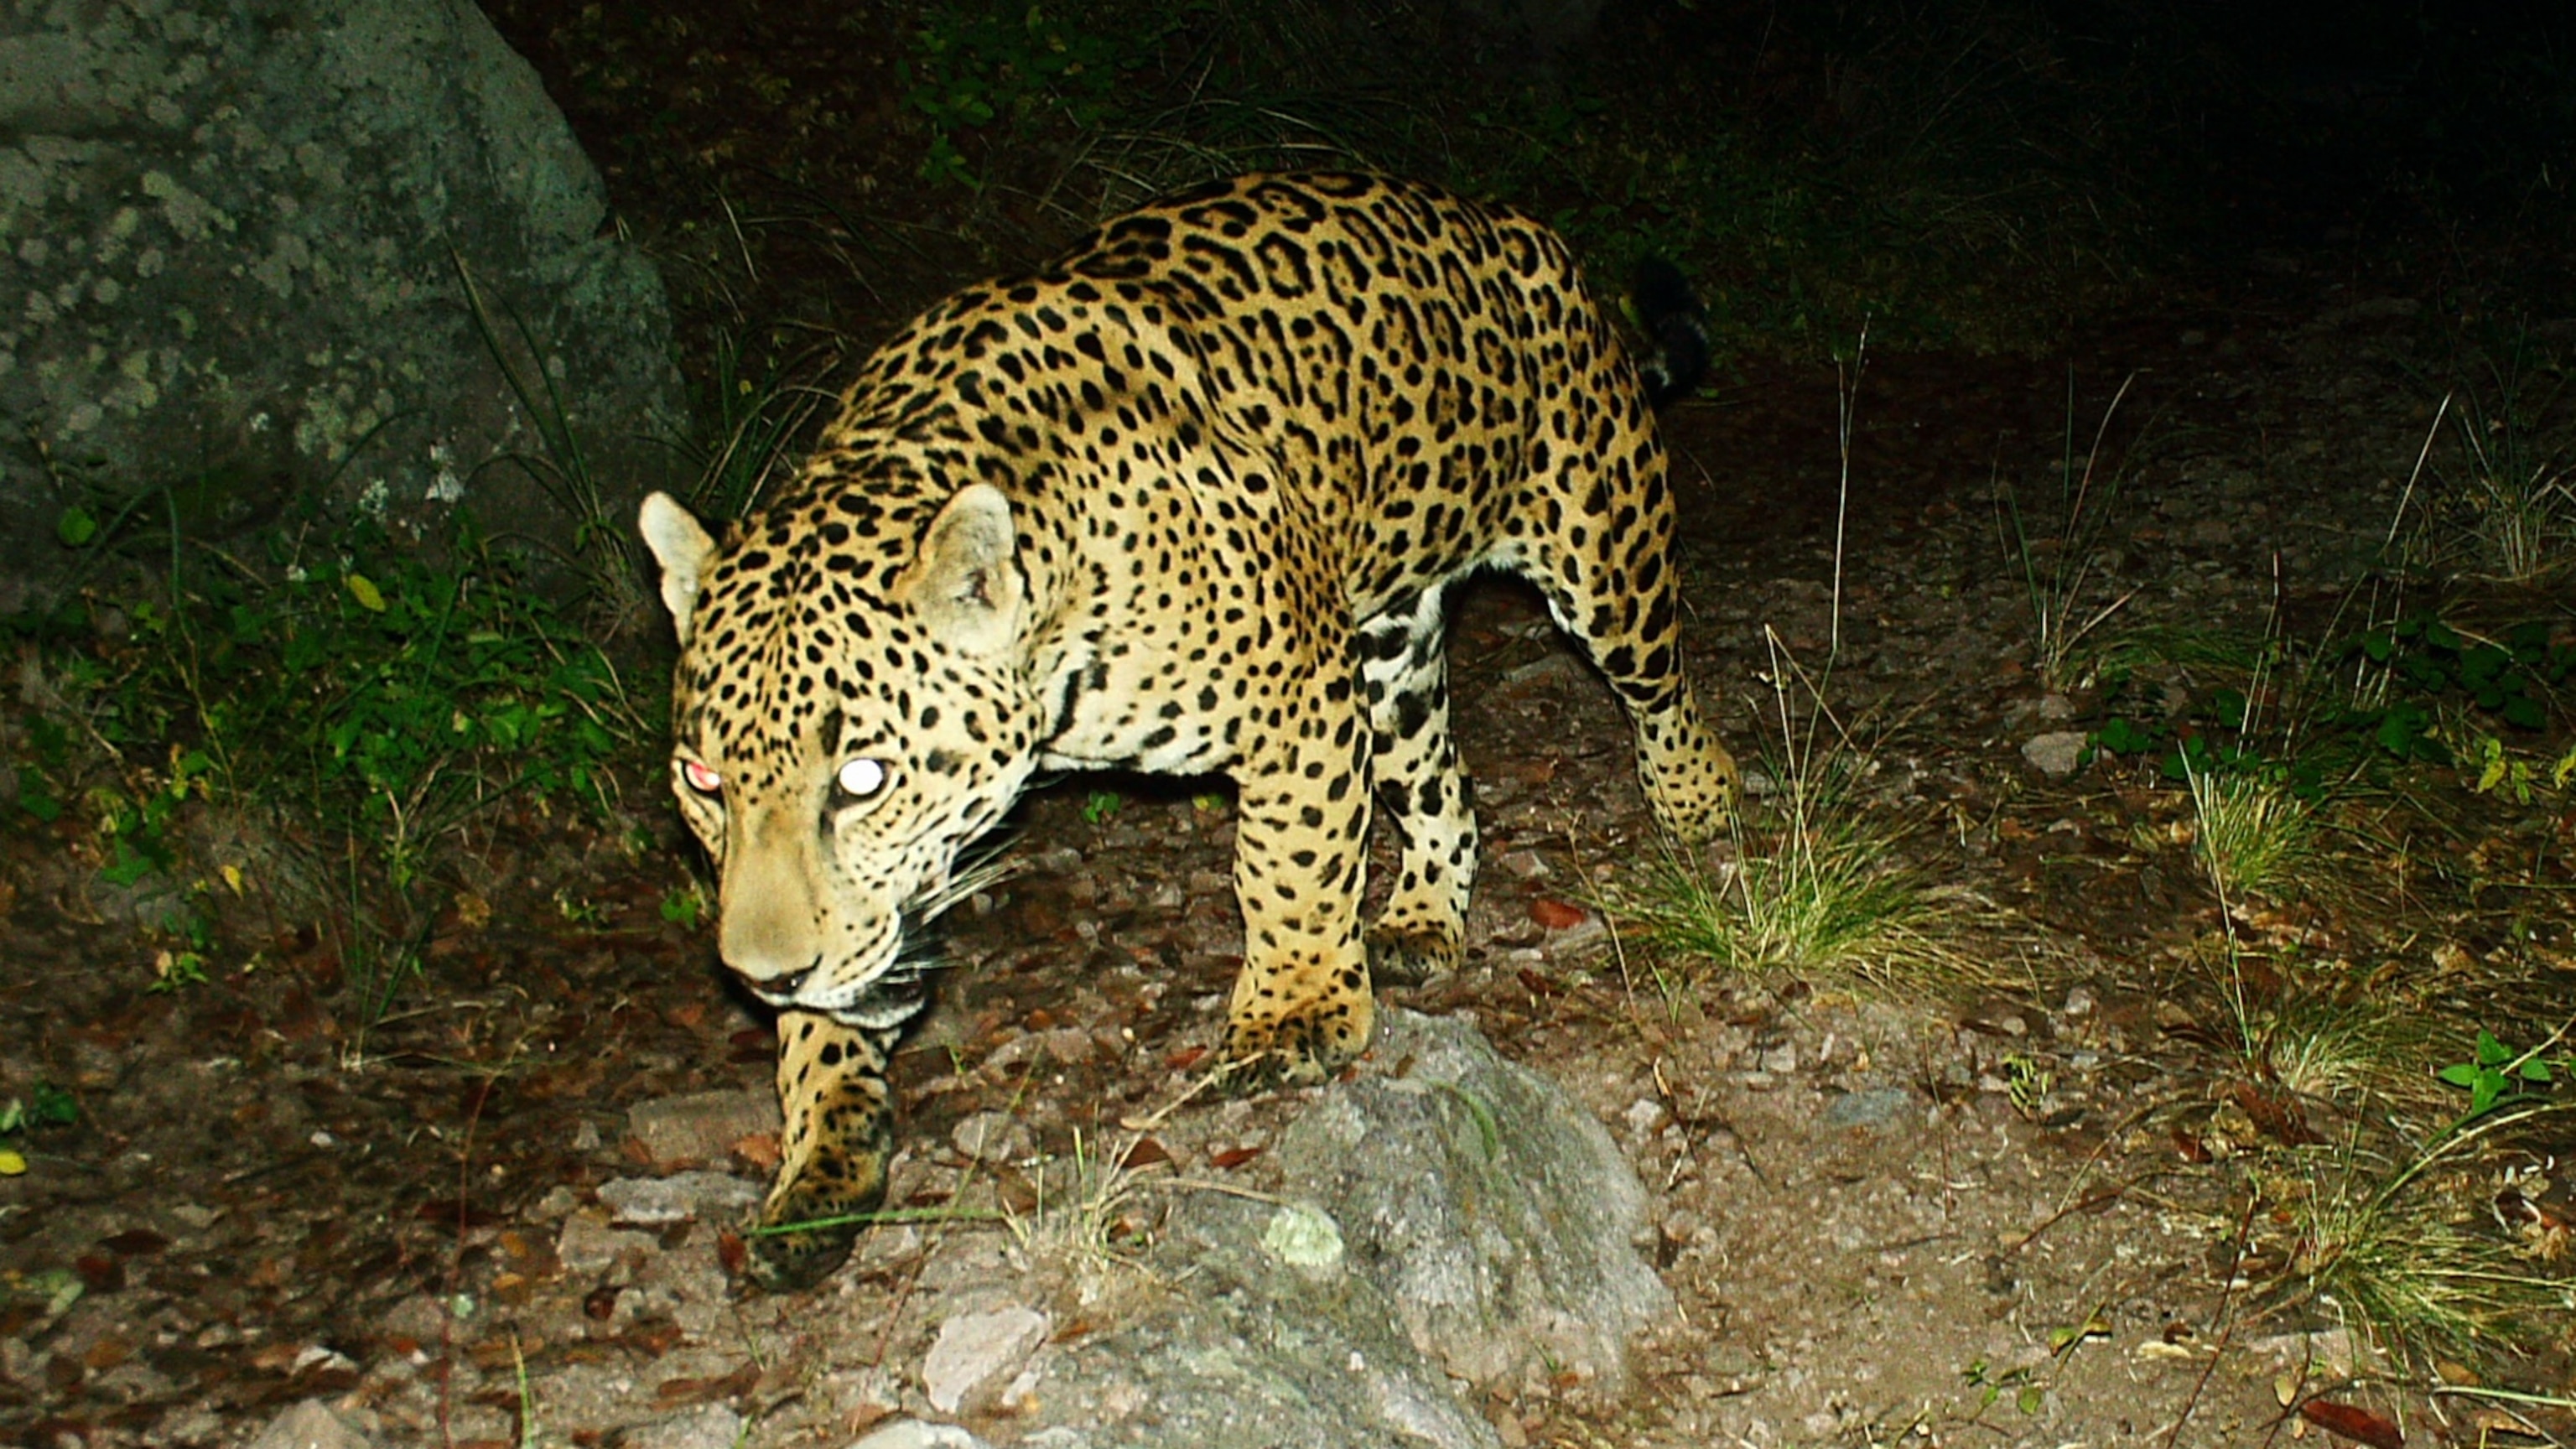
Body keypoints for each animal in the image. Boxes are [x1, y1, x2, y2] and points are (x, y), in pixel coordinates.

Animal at [638, 171, 1738, 1290]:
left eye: (862, 779)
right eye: (702, 780)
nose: (763, 977)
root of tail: (1525, 236)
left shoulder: (1298, 697)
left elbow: (1289, 863)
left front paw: (1295, 1014)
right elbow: (829, 1029)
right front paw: (816, 1168)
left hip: (1604, 561)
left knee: (1662, 687)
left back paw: (1698, 801)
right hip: (1389, 652)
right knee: (1445, 786)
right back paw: (1423, 919)